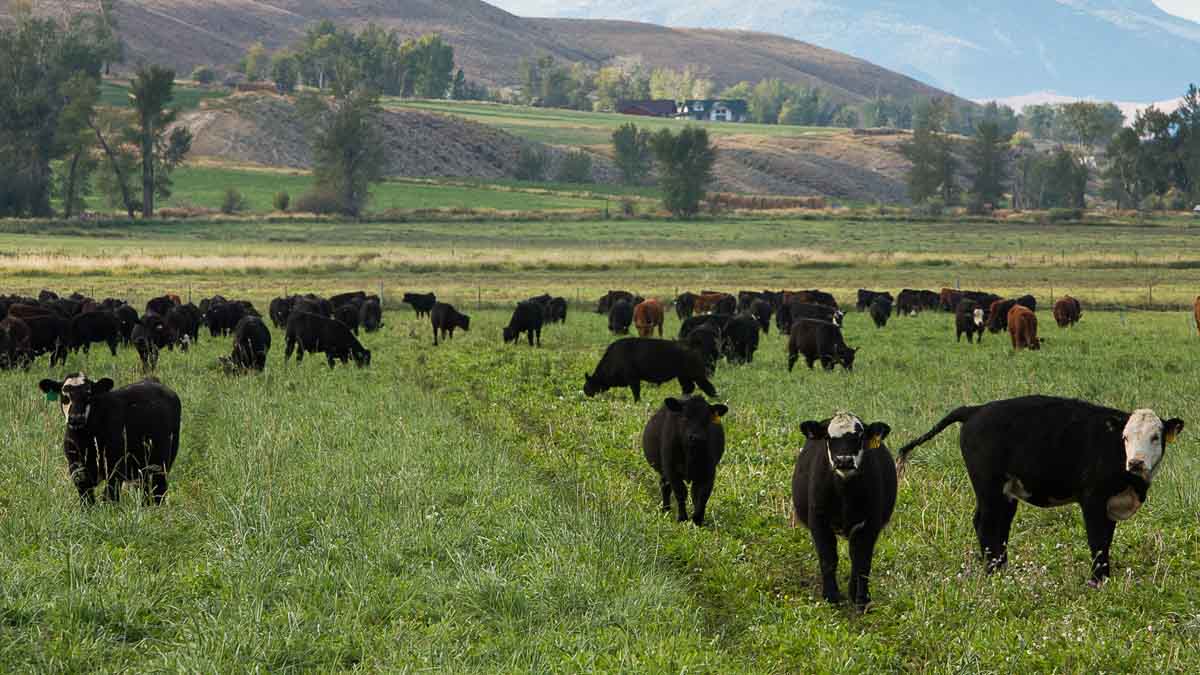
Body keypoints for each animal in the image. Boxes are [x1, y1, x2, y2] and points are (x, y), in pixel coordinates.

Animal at [37, 372, 181, 504]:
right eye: (64, 395)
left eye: (88, 395)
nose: (76, 418)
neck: (86, 440)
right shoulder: (77, 469)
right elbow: (87, 500)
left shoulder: (115, 466)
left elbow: (109, 497)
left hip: (161, 463)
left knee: (158, 490)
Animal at [583, 333, 715, 398]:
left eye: (589, 383)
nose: (586, 392)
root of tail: (691, 344)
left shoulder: (633, 380)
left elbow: (636, 392)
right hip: (683, 377)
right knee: (689, 388)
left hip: (695, 376)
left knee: (707, 387)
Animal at [643, 393, 724, 526]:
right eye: (685, 417)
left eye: (707, 420)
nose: (696, 437)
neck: (690, 454)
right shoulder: (671, 469)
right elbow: (680, 492)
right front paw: (682, 518)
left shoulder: (708, 472)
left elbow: (701, 495)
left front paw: (697, 521)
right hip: (664, 469)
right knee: (665, 486)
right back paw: (666, 509)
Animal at [792, 413, 897, 607]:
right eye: (828, 437)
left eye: (860, 437)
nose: (844, 460)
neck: (844, 493)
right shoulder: (818, 521)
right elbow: (828, 558)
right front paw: (831, 595)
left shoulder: (870, 524)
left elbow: (862, 562)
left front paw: (863, 600)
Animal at [897, 393, 1185, 583]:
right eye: (1125, 437)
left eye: (1155, 437)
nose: (1136, 462)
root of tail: (976, 409)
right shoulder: (1092, 500)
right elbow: (1097, 540)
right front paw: (1098, 580)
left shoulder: (1110, 505)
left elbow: (1106, 540)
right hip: (987, 486)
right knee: (984, 523)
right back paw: (992, 571)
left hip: (1006, 493)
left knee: (999, 525)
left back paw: (1001, 569)